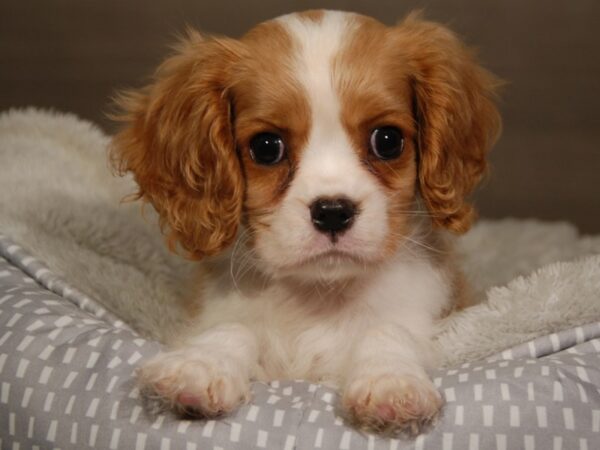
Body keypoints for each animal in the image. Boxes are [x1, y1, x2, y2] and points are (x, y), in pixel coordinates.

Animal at [110, 8, 500, 434]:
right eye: (266, 147)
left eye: (388, 140)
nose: (332, 211)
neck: (320, 295)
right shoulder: (218, 313)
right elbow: (233, 327)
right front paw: (199, 365)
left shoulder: (432, 314)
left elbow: (389, 329)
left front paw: (390, 381)